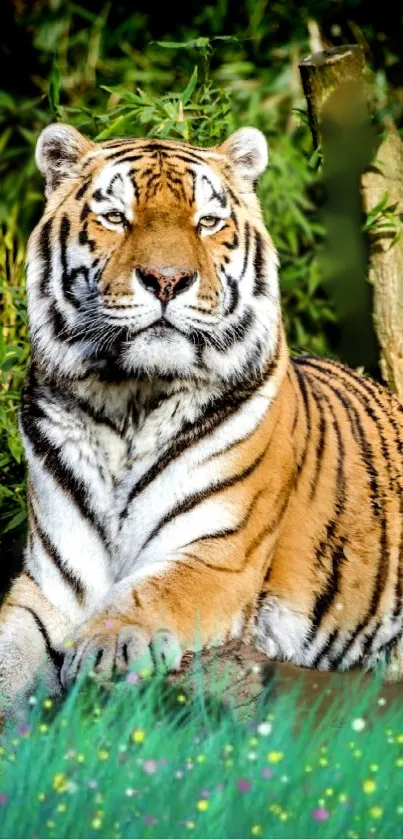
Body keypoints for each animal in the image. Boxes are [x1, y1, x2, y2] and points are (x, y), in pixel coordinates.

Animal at [0, 118, 403, 708]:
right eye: (116, 217)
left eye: (207, 222)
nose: (166, 279)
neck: (129, 401)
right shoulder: (53, 582)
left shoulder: (217, 555)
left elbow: (149, 594)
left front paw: (104, 650)